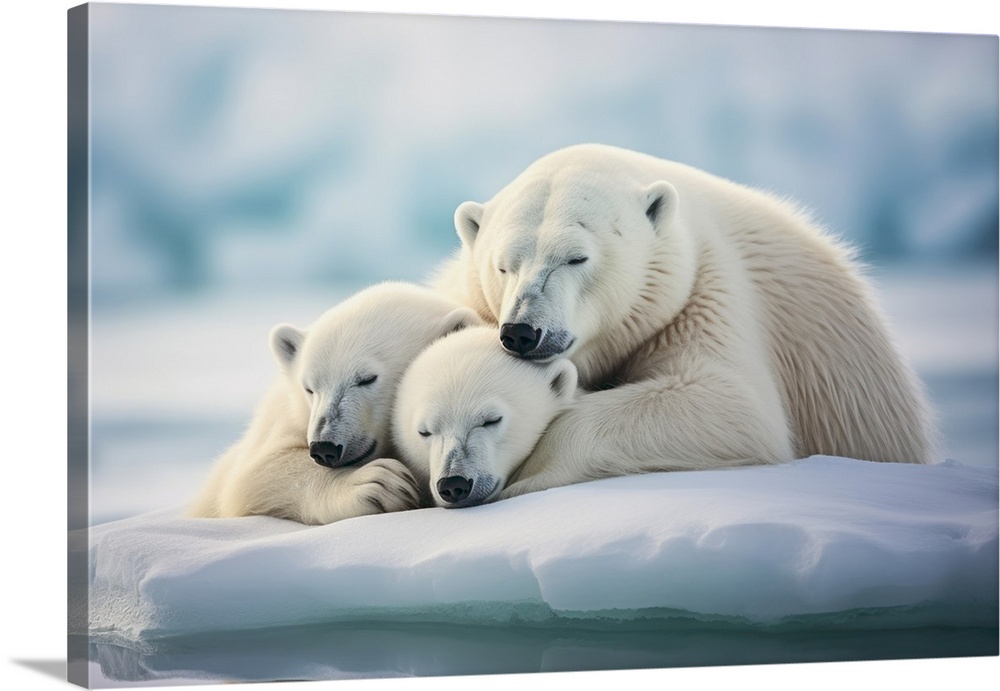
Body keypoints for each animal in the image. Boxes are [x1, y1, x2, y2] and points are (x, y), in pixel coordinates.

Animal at [436, 143, 936, 500]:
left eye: (576, 258)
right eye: (504, 265)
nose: (522, 332)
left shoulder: (702, 293)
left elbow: (729, 402)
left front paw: (525, 468)